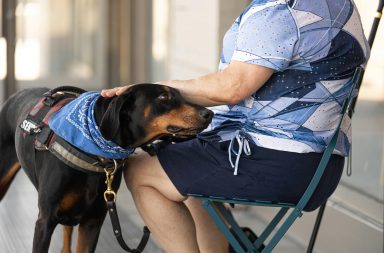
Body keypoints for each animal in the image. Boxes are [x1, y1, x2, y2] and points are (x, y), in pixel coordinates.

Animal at [0, 83, 212, 253]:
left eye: (181, 96)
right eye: (163, 97)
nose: (209, 114)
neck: (94, 151)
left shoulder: (93, 221)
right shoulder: (45, 221)